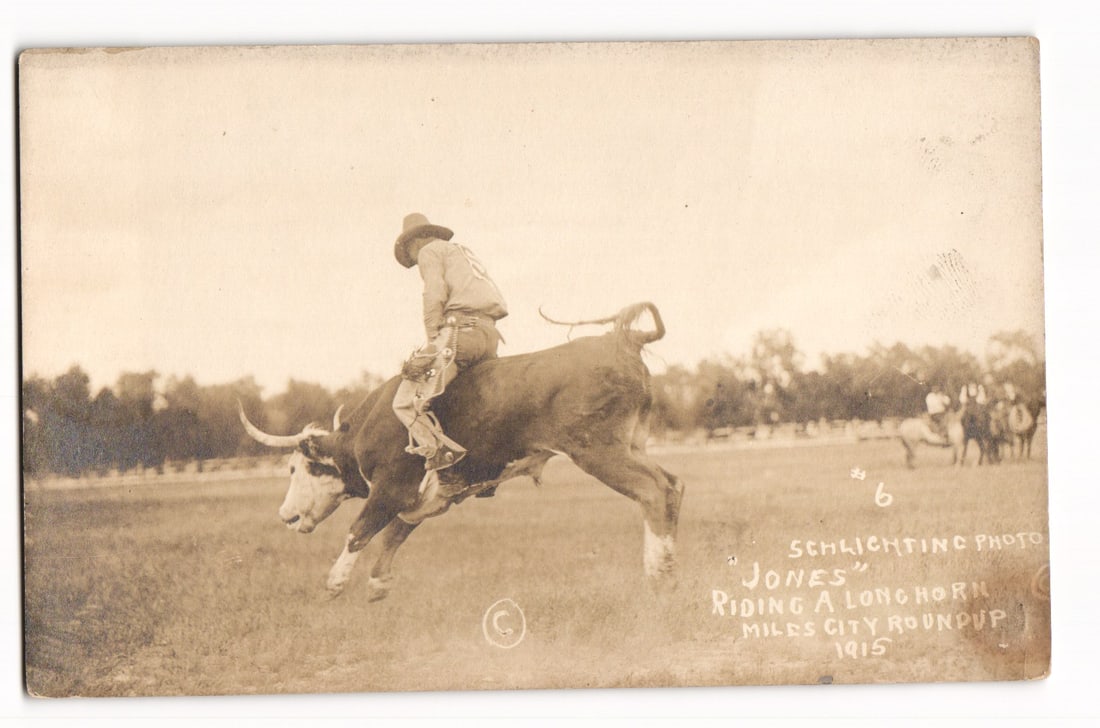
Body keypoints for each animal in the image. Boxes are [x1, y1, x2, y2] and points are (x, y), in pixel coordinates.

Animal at [239, 302, 685, 600]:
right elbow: (396, 532)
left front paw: (335, 583)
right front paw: (379, 583)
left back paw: (657, 572)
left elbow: (361, 530)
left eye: (297, 468)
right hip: (632, 444)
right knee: (673, 485)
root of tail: (623, 341)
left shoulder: (391, 488)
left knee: (653, 490)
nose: (285, 515)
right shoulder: (433, 497)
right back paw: (666, 567)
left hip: (600, 451)